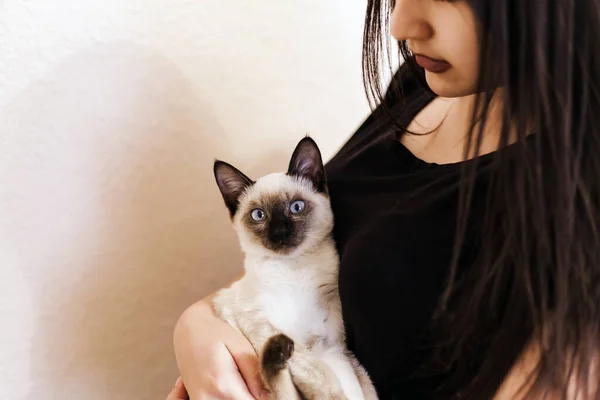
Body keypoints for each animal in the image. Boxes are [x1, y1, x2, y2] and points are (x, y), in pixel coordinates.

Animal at [211, 138, 378, 400]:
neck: (293, 270)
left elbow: (332, 385)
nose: (280, 233)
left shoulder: (330, 346)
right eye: (259, 215)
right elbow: (315, 374)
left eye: (296, 207)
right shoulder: (255, 321)